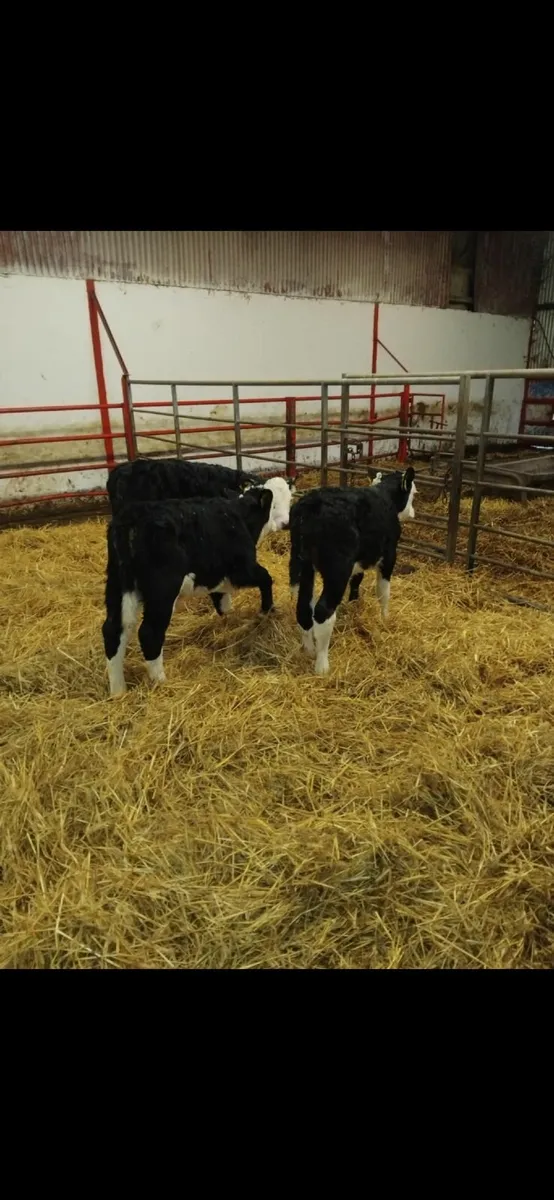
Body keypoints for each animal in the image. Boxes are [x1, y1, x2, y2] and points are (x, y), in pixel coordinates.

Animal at [102, 477, 292, 697]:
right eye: (275, 504)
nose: (286, 523)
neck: (239, 516)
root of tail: (131, 518)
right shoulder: (243, 569)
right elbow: (266, 579)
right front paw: (266, 611)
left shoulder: (215, 573)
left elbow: (222, 602)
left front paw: (230, 621)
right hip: (162, 590)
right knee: (149, 633)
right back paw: (161, 682)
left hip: (118, 585)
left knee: (114, 630)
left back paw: (118, 691)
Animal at [289, 468, 417, 676]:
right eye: (414, 493)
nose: (413, 512)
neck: (384, 497)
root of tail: (311, 504)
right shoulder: (389, 556)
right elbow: (383, 591)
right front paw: (385, 618)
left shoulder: (359, 561)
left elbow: (357, 579)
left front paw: (354, 604)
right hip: (337, 570)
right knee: (323, 611)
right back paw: (322, 665)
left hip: (304, 565)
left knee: (304, 608)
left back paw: (309, 650)